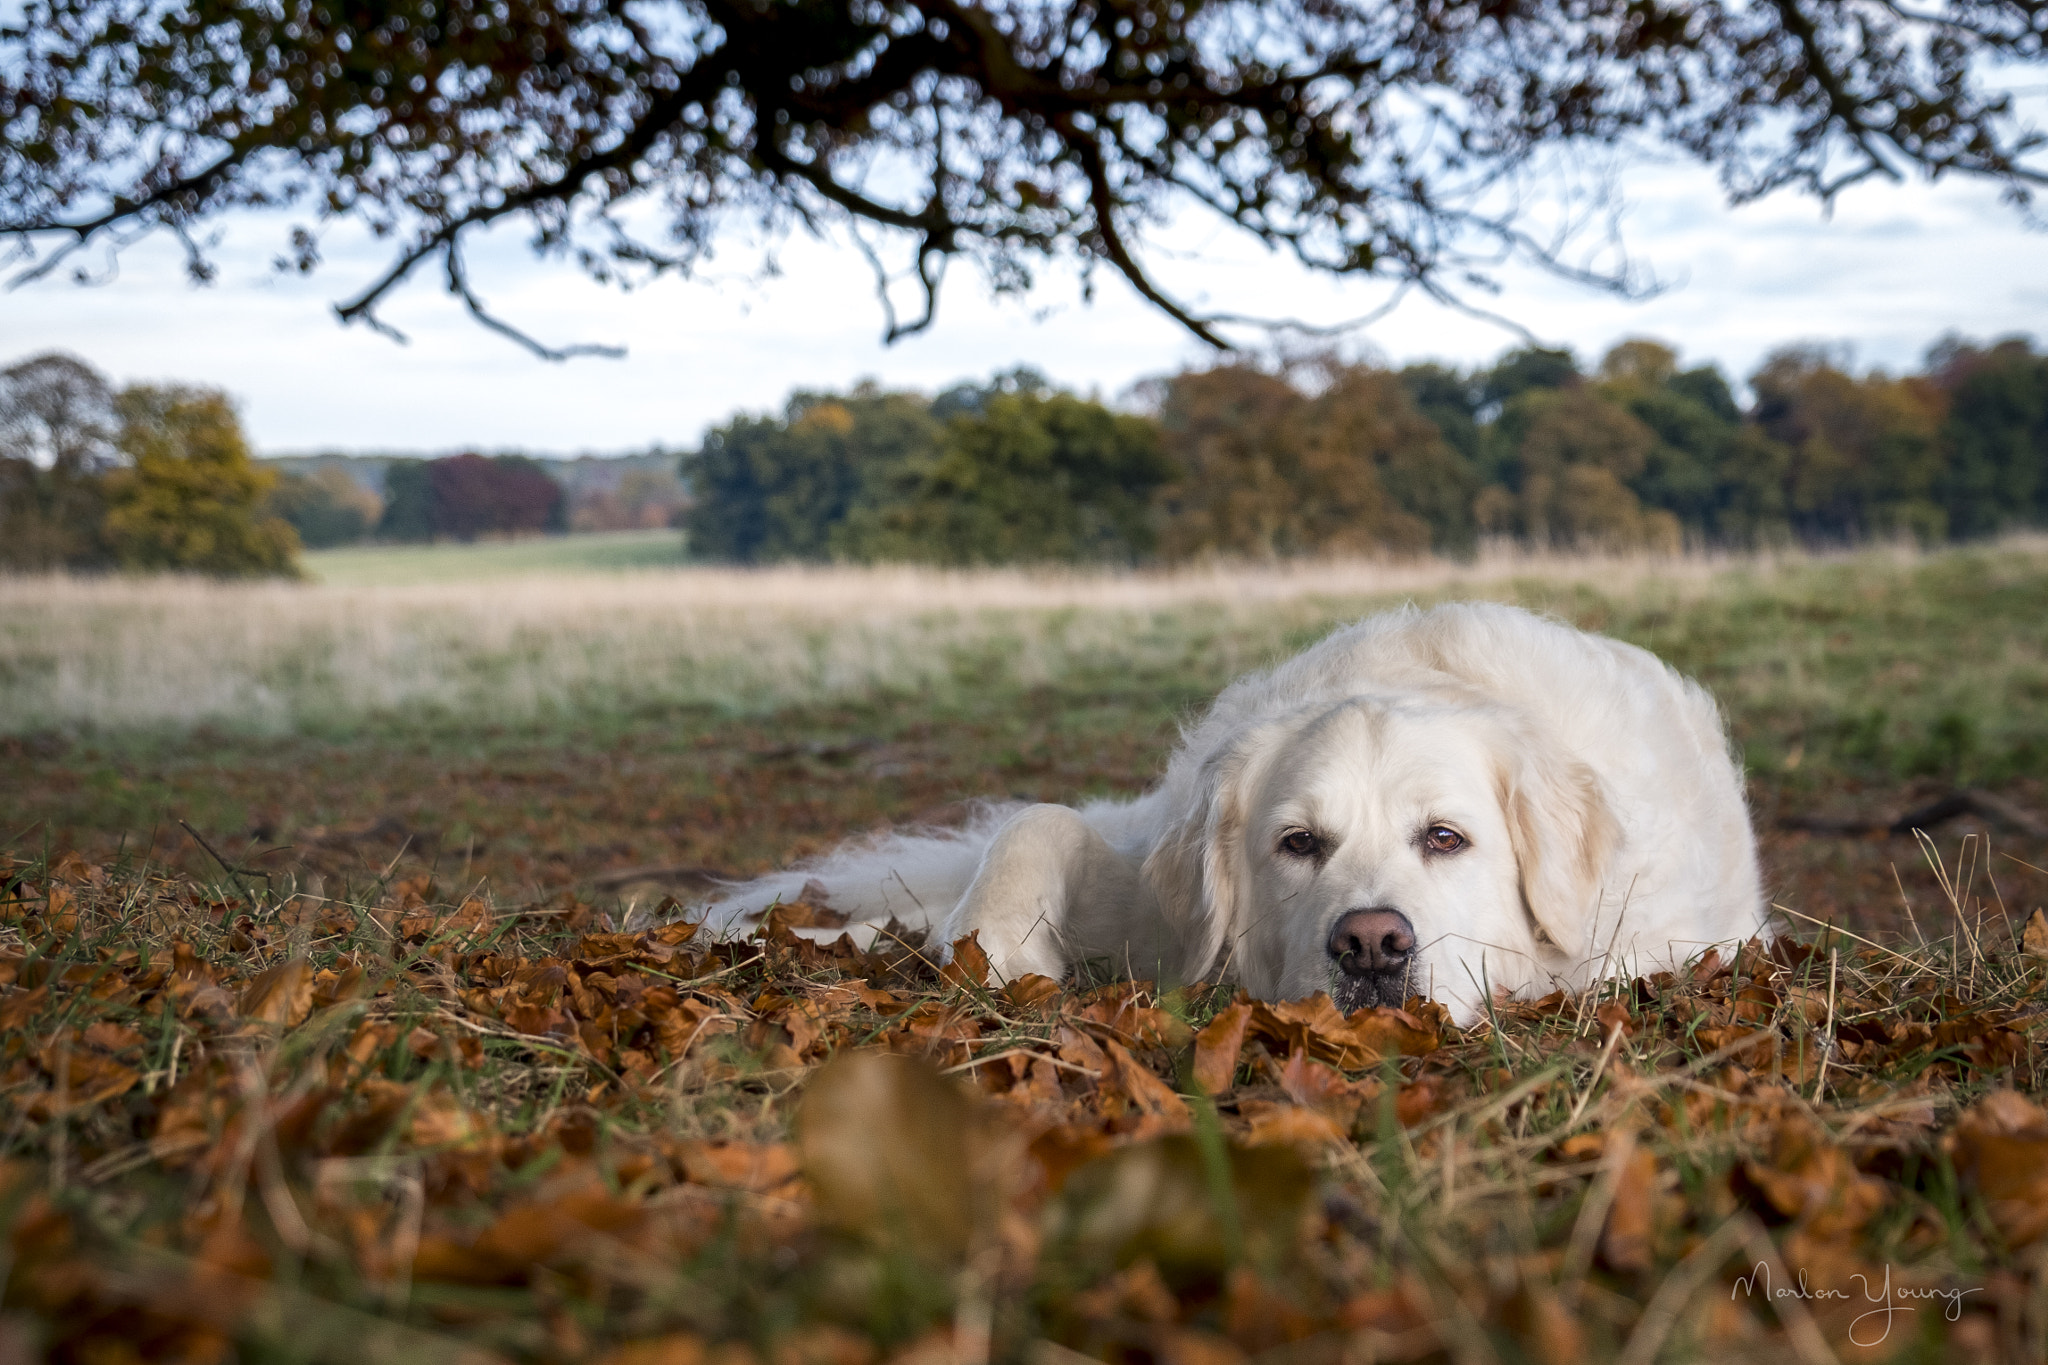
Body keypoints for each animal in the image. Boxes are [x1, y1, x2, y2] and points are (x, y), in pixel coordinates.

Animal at [696, 601, 1769, 1019]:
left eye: (1445, 838)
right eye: (1297, 843)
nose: (1371, 945)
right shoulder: (1151, 892)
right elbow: (1035, 822)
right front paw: (989, 949)